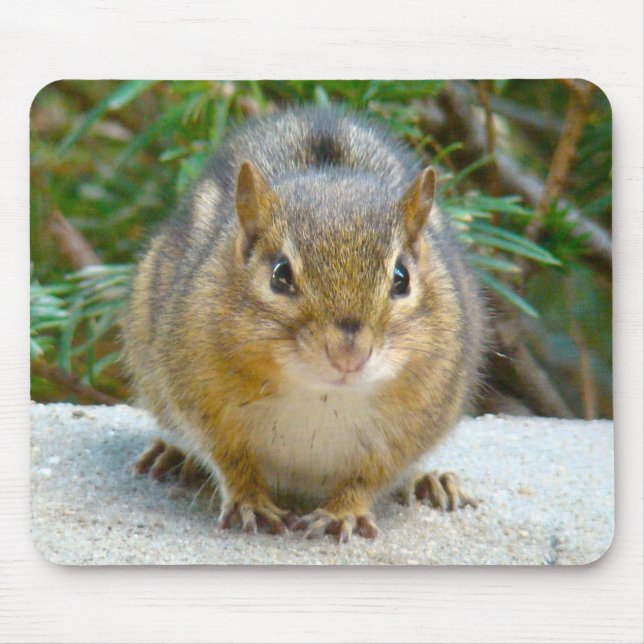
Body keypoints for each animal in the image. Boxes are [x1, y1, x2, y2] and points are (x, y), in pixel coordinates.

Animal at [123, 107, 488, 542]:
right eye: (280, 275)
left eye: (402, 278)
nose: (348, 356)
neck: (322, 395)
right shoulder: (201, 398)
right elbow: (230, 459)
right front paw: (250, 501)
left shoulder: (415, 424)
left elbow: (371, 476)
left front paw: (342, 512)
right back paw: (173, 455)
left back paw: (430, 482)